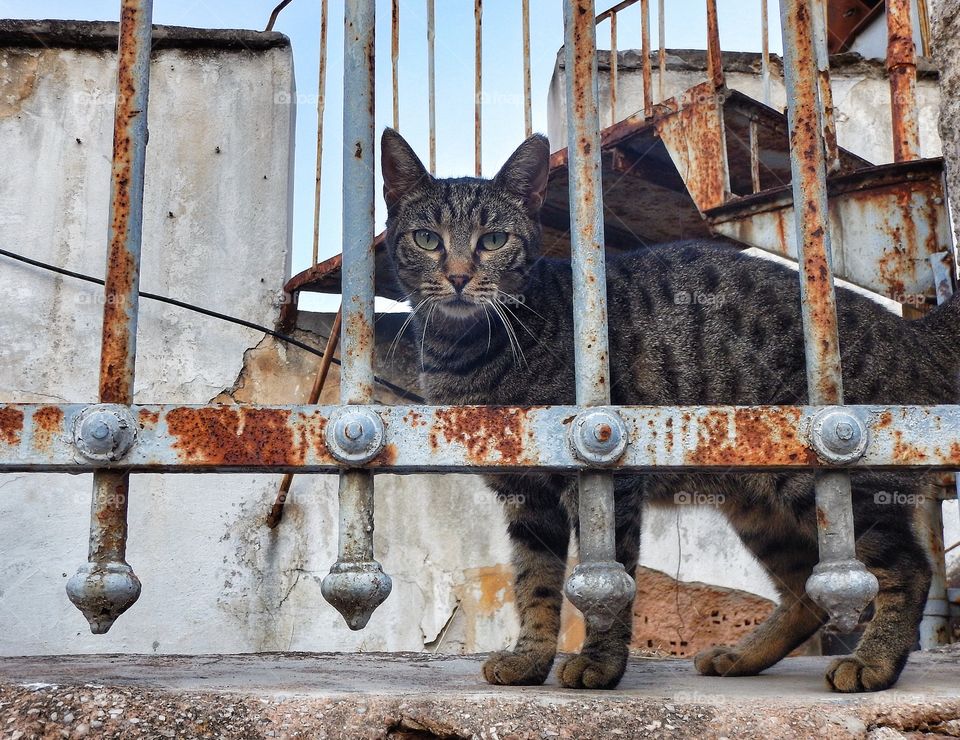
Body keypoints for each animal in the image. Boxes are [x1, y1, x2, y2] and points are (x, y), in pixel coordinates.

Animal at [378, 129, 956, 692]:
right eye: (427, 239)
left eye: (493, 240)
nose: (457, 276)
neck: (466, 354)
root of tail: (910, 334)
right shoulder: (526, 498)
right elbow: (534, 585)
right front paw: (530, 660)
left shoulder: (605, 479)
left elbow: (608, 583)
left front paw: (600, 664)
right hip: (760, 508)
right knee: (806, 591)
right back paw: (742, 655)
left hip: (827, 484)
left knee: (910, 569)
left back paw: (874, 662)